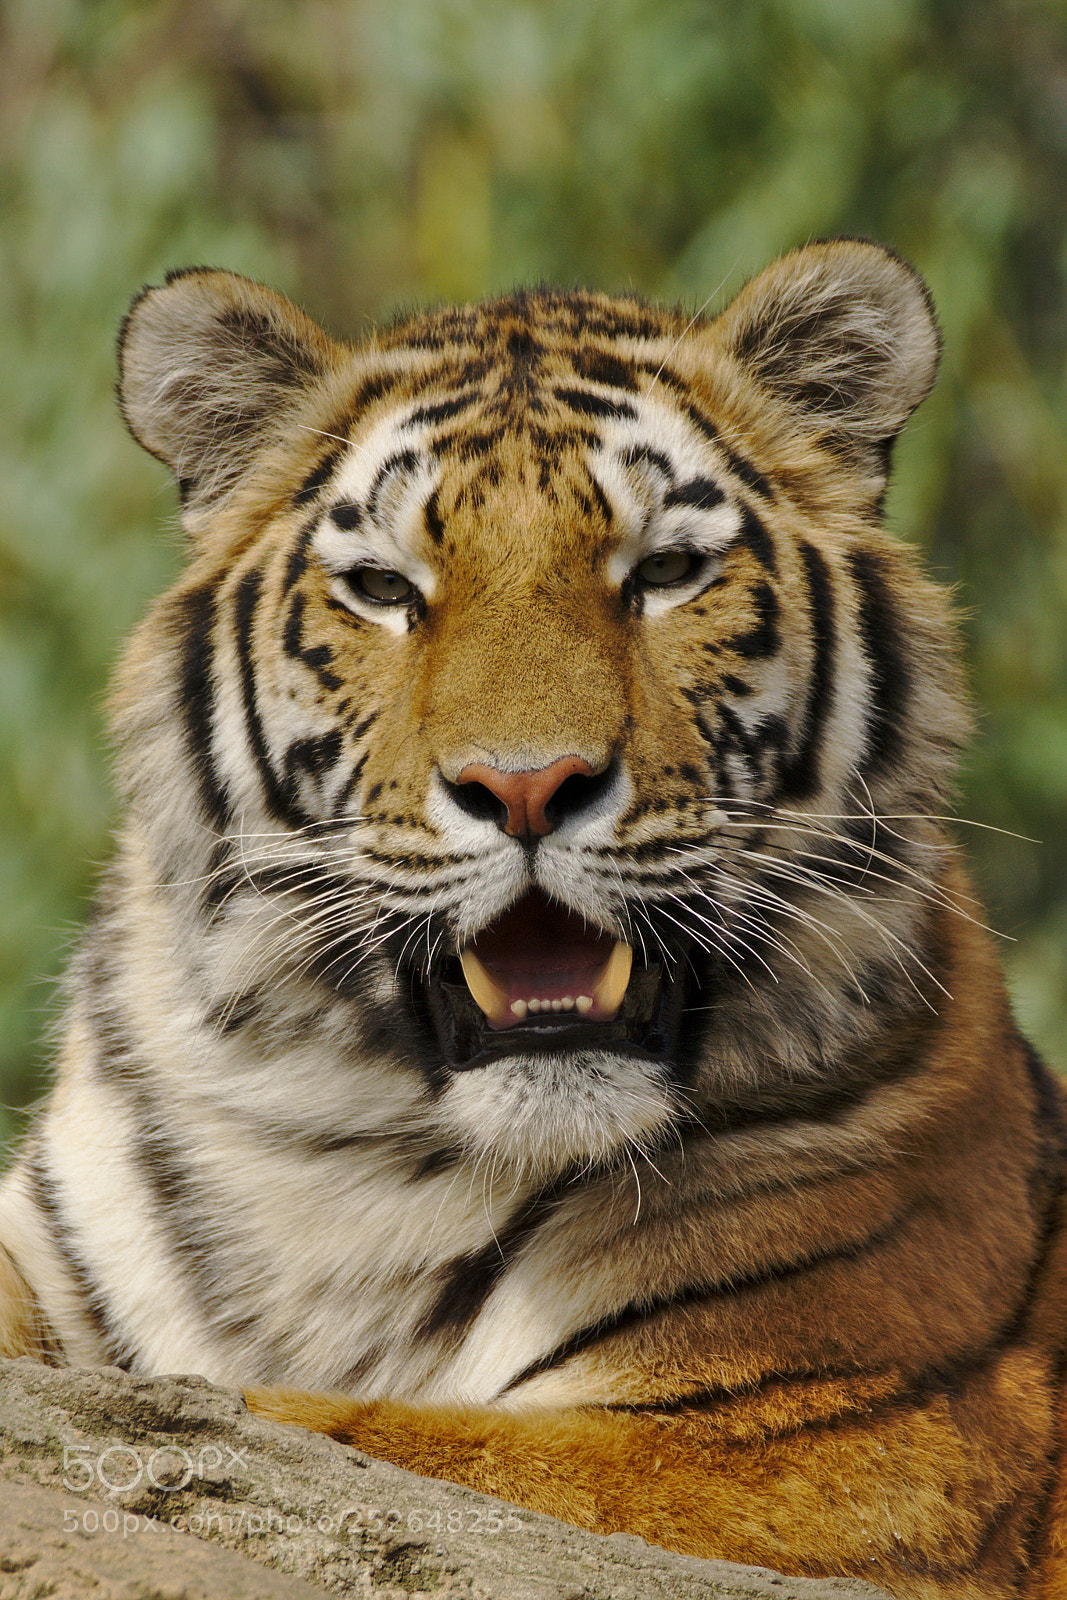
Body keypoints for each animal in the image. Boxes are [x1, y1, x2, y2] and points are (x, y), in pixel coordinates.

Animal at [1, 239, 1065, 1599]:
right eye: (385, 589)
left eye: (663, 572)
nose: (524, 786)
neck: (347, 1166)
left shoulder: (824, 1445)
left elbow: (338, 1434)